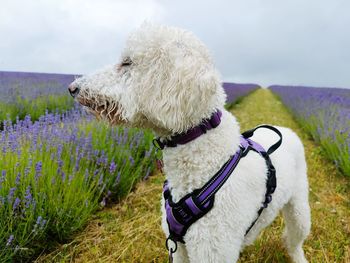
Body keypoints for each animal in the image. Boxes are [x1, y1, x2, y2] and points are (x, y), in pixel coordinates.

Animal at [69, 23, 310, 263]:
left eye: (127, 62)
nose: (72, 88)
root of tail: (286, 129)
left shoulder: (212, 250)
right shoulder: (178, 246)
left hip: (300, 210)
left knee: (295, 241)